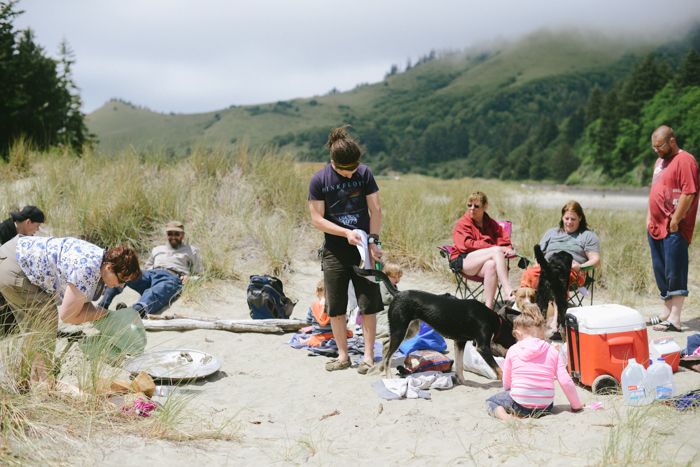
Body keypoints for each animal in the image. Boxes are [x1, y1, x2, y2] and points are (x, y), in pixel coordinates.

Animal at [350, 266, 516, 384]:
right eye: (513, 334)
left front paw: (462, 380)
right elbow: (498, 369)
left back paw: (380, 369)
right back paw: (389, 377)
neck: (494, 319)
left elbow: (460, 365)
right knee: (389, 354)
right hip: (400, 330)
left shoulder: (459, 342)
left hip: (409, 330)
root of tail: (398, 293)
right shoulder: (482, 347)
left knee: (386, 345)